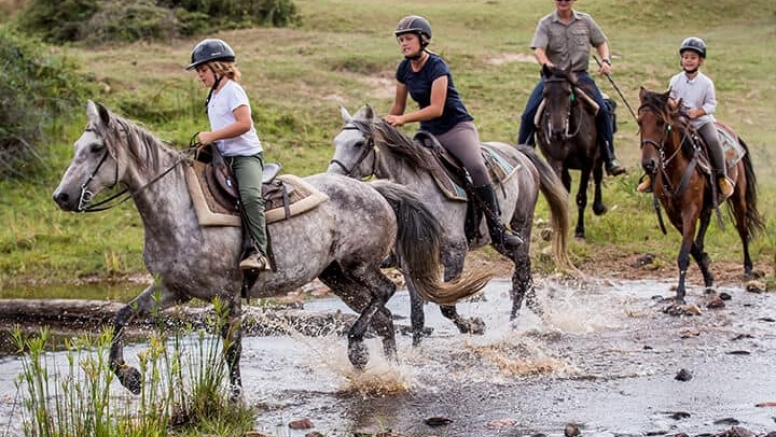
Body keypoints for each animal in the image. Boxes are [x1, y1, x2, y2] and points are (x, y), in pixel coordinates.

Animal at [53, 100, 492, 396]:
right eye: (75, 147)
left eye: (95, 150)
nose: (62, 196)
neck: (177, 207)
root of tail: (376, 189)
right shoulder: (171, 289)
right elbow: (121, 317)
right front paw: (129, 377)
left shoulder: (228, 295)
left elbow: (232, 350)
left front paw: (235, 400)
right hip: (336, 276)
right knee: (383, 317)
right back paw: (388, 371)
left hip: (358, 265)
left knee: (385, 293)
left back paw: (358, 351)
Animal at [328, 104, 576, 344]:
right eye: (336, 142)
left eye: (359, 143)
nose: (332, 177)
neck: (418, 190)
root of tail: (519, 152)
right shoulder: (411, 261)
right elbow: (417, 314)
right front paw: (417, 350)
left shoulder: (455, 252)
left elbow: (447, 306)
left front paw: (474, 326)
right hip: (500, 242)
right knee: (524, 270)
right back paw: (540, 317)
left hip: (522, 222)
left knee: (520, 275)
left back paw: (513, 326)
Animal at [536, 65, 608, 238]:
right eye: (545, 93)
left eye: (568, 93)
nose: (557, 131)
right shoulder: (555, 160)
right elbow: (556, 191)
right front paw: (550, 229)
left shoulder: (587, 162)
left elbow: (581, 196)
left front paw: (580, 231)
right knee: (566, 185)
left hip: (599, 158)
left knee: (597, 176)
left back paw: (599, 207)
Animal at [636, 87, 764, 302]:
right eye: (640, 122)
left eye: (661, 122)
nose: (649, 164)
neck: (677, 169)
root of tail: (733, 134)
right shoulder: (673, 213)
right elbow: (693, 249)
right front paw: (707, 273)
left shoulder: (690, 209)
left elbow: (685, 253)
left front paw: (680, 294)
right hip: (708, 204)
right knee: (706, 222)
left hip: (738, 198)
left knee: (742, 228)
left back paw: (748, 269)